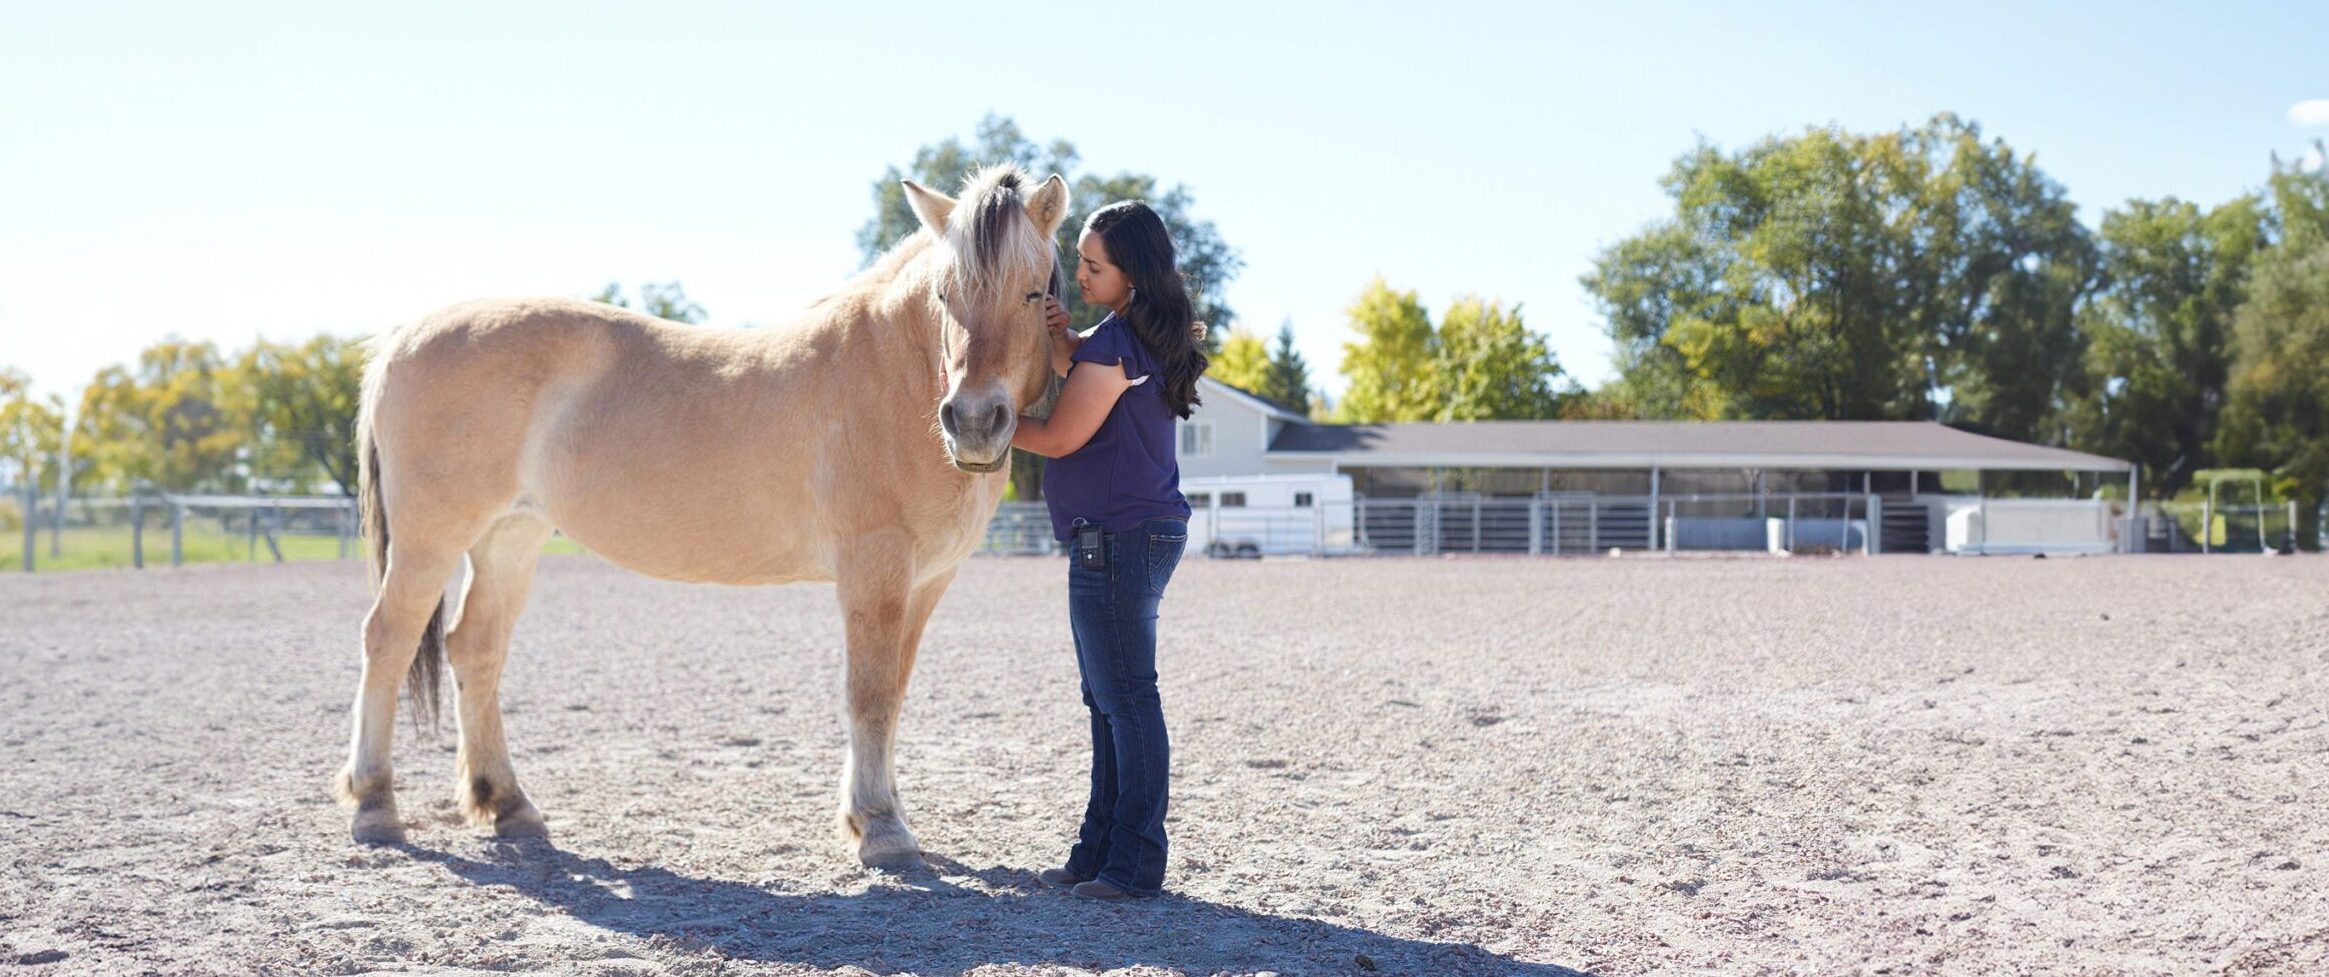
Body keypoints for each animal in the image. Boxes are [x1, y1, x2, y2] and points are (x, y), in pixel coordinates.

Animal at [333, 164, 1066, 867]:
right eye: (944, 295)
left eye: (1033, 292)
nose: (973, 421)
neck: (896, 374)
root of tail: (402, 337)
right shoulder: (874, 567)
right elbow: (870, 692)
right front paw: (881, 828)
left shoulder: (925, 581)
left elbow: (894, 692)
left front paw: (877, 815)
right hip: (430, 540)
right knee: (388, 639)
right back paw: (375, 805)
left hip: (507, 538)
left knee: (475, 647)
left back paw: (508, 804)